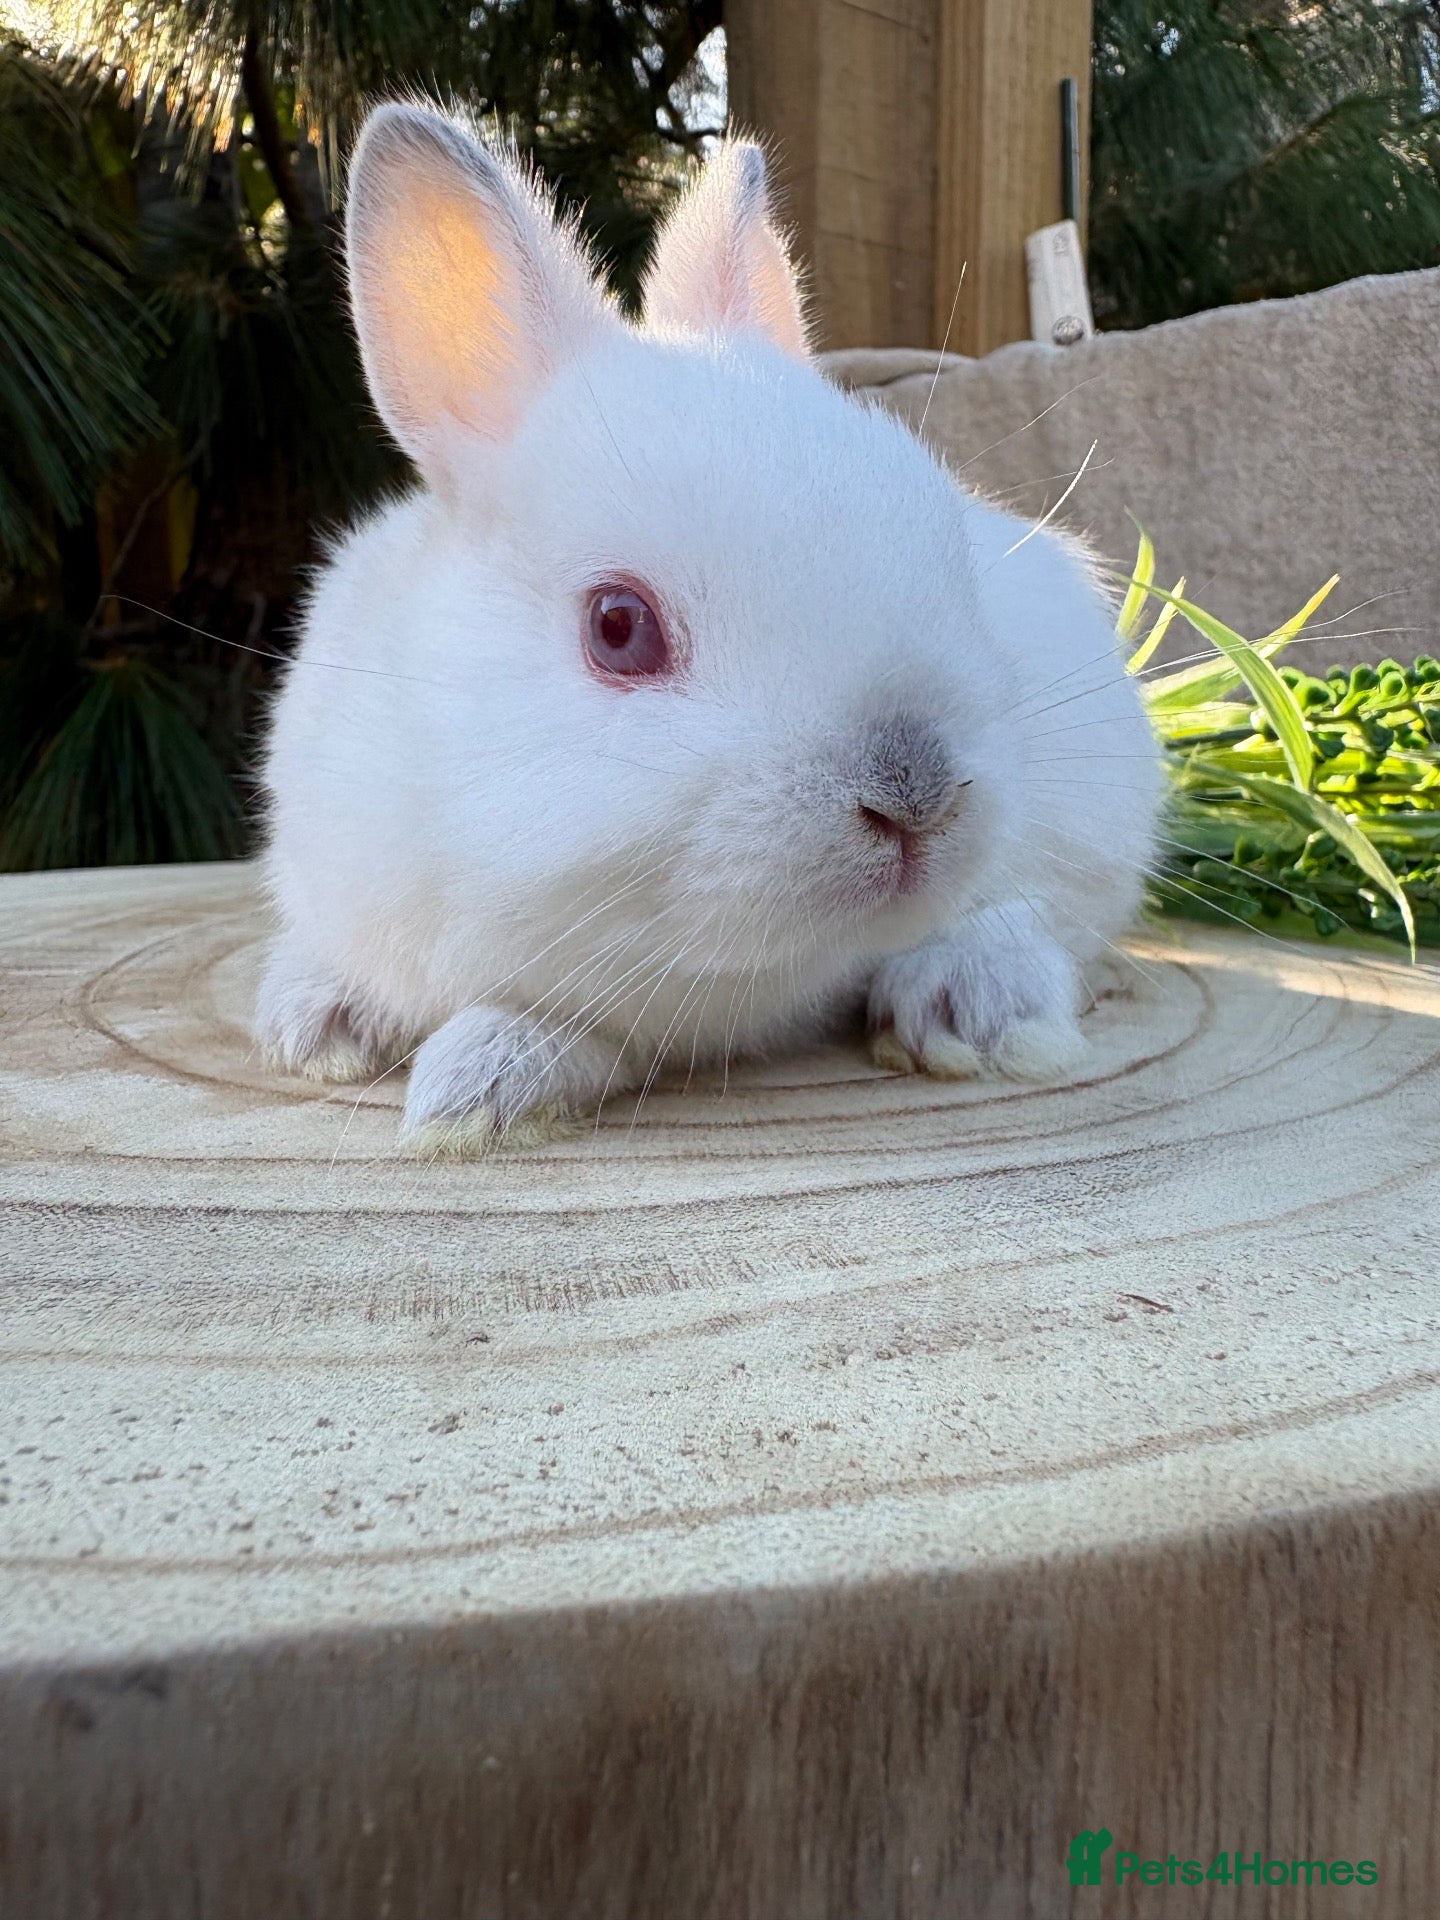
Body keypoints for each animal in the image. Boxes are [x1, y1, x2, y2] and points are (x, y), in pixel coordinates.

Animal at [254, 101, 1161, 1158]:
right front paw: (318, 1027)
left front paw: (474, 1087)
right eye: (618, 627)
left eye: (952, 551)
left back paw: (970, 1007)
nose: (919, 798)